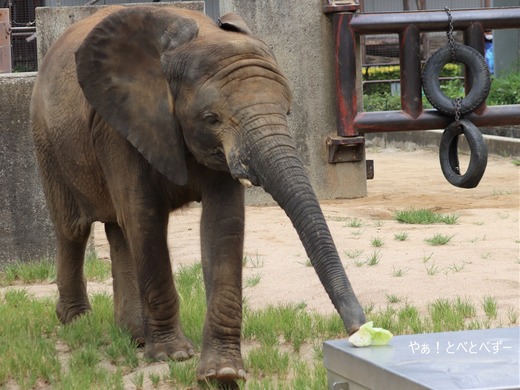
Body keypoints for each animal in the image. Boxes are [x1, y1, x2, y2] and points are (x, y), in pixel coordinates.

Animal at [30, 4, 366, 386]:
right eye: (211, 118)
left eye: (288, 112)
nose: (358, 328)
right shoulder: (118, 126)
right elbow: (145, 218)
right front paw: (173, 355)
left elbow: (223, 224)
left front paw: (223, 373)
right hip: (45, 138)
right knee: (74, 229)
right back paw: (78, 322)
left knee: (118, 231)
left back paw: (134, 335)